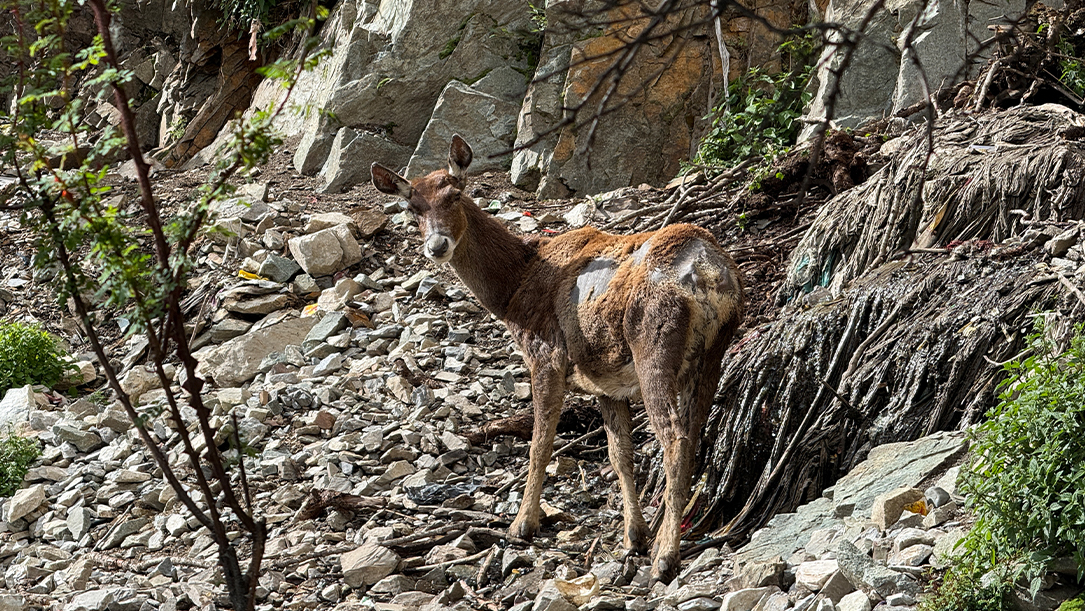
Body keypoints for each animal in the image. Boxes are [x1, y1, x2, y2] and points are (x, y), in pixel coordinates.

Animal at [371, 135, 745, 583]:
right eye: (412, 207)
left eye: (455, 194)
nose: (437, 245)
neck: (514, 290)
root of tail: (706, 272)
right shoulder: (605, 381)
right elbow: (620, 454)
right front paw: (632, 536)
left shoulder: (545, 354)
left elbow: (540, 443)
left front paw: (522, 525)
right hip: (713, 351)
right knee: (693, 431)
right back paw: (659, 543)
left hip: (653, 343)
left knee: (674, 438)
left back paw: (665, 558)